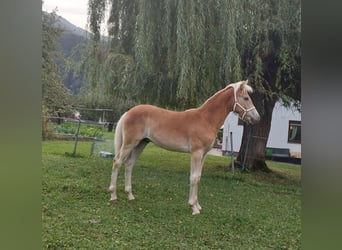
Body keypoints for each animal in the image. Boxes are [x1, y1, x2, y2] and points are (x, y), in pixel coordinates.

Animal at [108, 80, 260, 215]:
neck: (206, 119)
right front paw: (193, 208)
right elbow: (194, 178)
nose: (257, 118)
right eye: (246, 98)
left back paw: (130, 195)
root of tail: (128, 112)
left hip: (141, 144)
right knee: (117, 162)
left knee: (129, 164)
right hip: (130, 143)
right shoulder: (196, 153)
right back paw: (113, 195)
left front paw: (197, 205)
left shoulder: (203, 154)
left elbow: (198, 177)